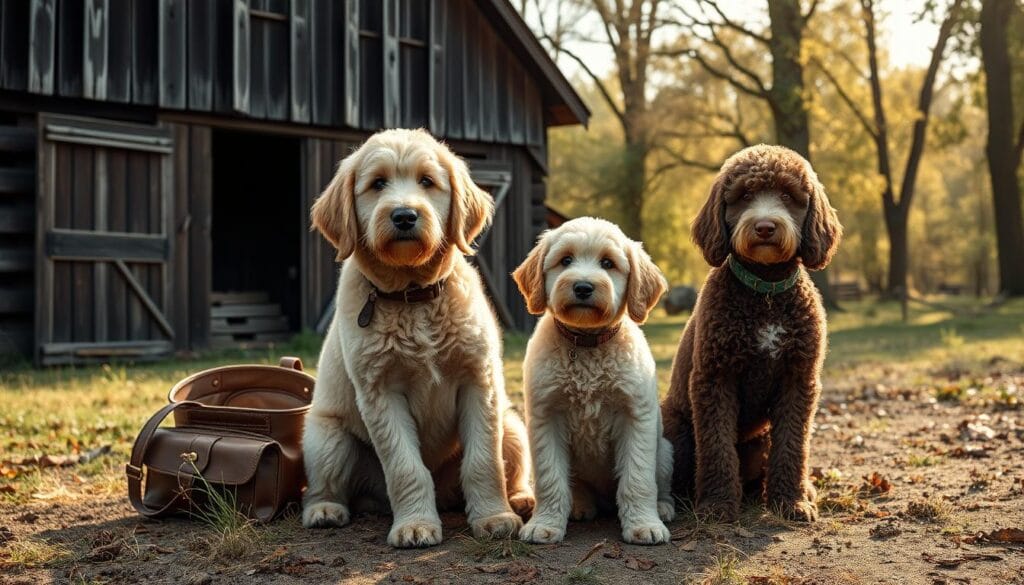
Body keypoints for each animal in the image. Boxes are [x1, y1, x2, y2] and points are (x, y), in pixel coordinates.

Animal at [301, 128, 536, 549]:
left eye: (427, 181)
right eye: (378, 184)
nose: (404, 216)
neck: (413, 298)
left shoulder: (479, 382)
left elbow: (483, 462)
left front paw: (494, 516)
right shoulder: (380, 393)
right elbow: (405, 466)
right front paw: (415, 524)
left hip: (511, 425)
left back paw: (522, 499)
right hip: (325, 437)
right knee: (324, 485)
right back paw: (324, 509)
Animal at [509, 218, 671, 545]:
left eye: (608, 263)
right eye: (565, 260)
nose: (583, 287)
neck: (586, 346)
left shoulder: (636, 417)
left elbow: (637, 479)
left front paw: (644, 524)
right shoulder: (546, 418)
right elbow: (550, 479)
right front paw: (545, 523)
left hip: (665, 451)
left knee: (659, 484)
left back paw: (662, 508)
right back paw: (580, 505)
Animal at [659, 145, 843, 522]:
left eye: (787, 196)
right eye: (744, 196)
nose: (765, 227)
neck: (765, 293)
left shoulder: (797, 379)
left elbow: (792, 445)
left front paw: (791, 502)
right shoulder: (715, 379)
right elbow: (716, 446)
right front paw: (716, 504)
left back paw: (801, 489)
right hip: (676, 432)